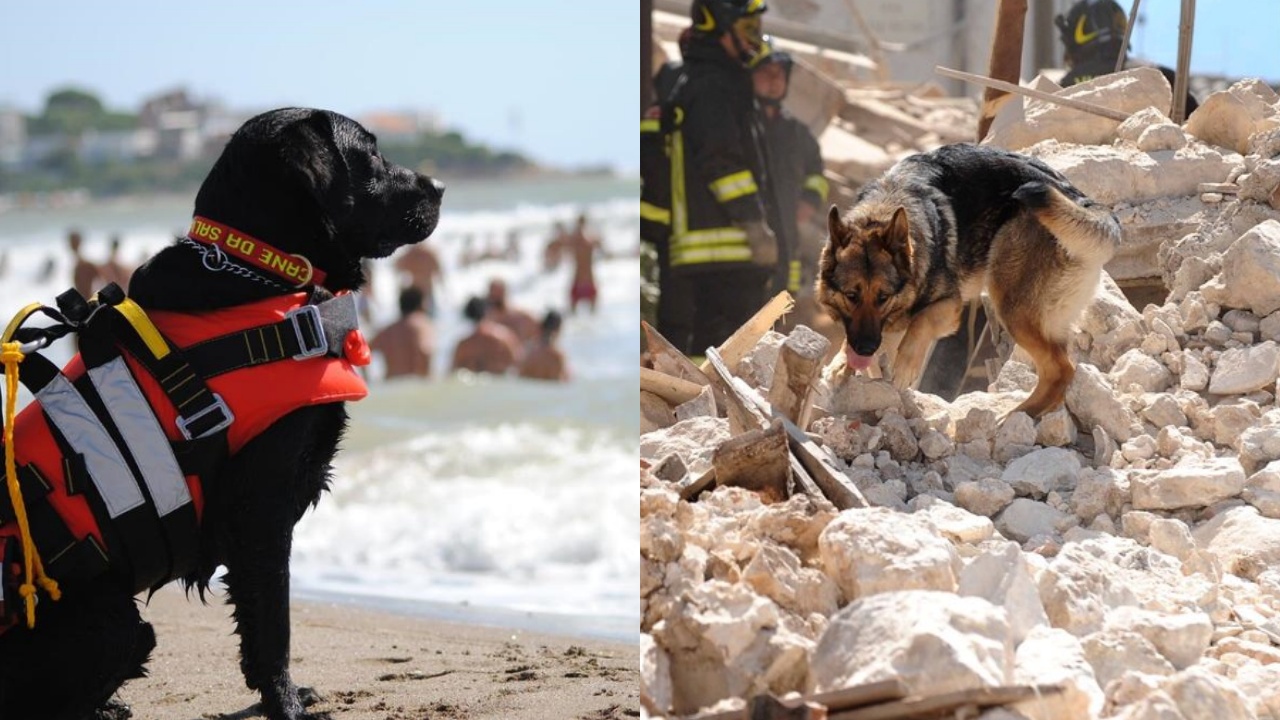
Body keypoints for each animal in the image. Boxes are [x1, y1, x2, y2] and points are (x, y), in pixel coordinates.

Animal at [0, 107, 445, 717]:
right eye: (371, 153)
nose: (440, 186)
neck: (251, 273)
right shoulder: (260, 511)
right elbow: (273, 626)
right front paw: (286, 703)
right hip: (117, 623)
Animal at [819, 142, 1121, 417]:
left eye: (883, 297)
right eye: (851, 296)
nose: (865, 347)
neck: (887, 205)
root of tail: (1084, 202)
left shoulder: (949, 306)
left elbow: (919, 323)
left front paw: (905, 367)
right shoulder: (880, 327)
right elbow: (867, 350)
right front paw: (842, 364)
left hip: (1011, 307)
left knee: (1061, 369)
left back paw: (1014, 416)